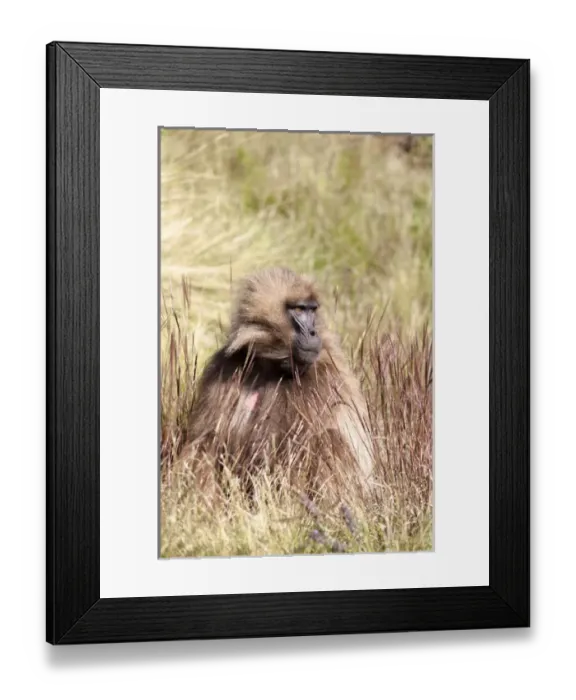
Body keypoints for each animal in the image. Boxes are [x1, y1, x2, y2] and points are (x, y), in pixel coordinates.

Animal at [181, 267, 375, 500]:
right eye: (299, 309)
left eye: (312, 310)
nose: (313, 333)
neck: (272, 365)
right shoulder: (225, 366)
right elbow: (206, 437)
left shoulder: (326, 374)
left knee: (327, 438)